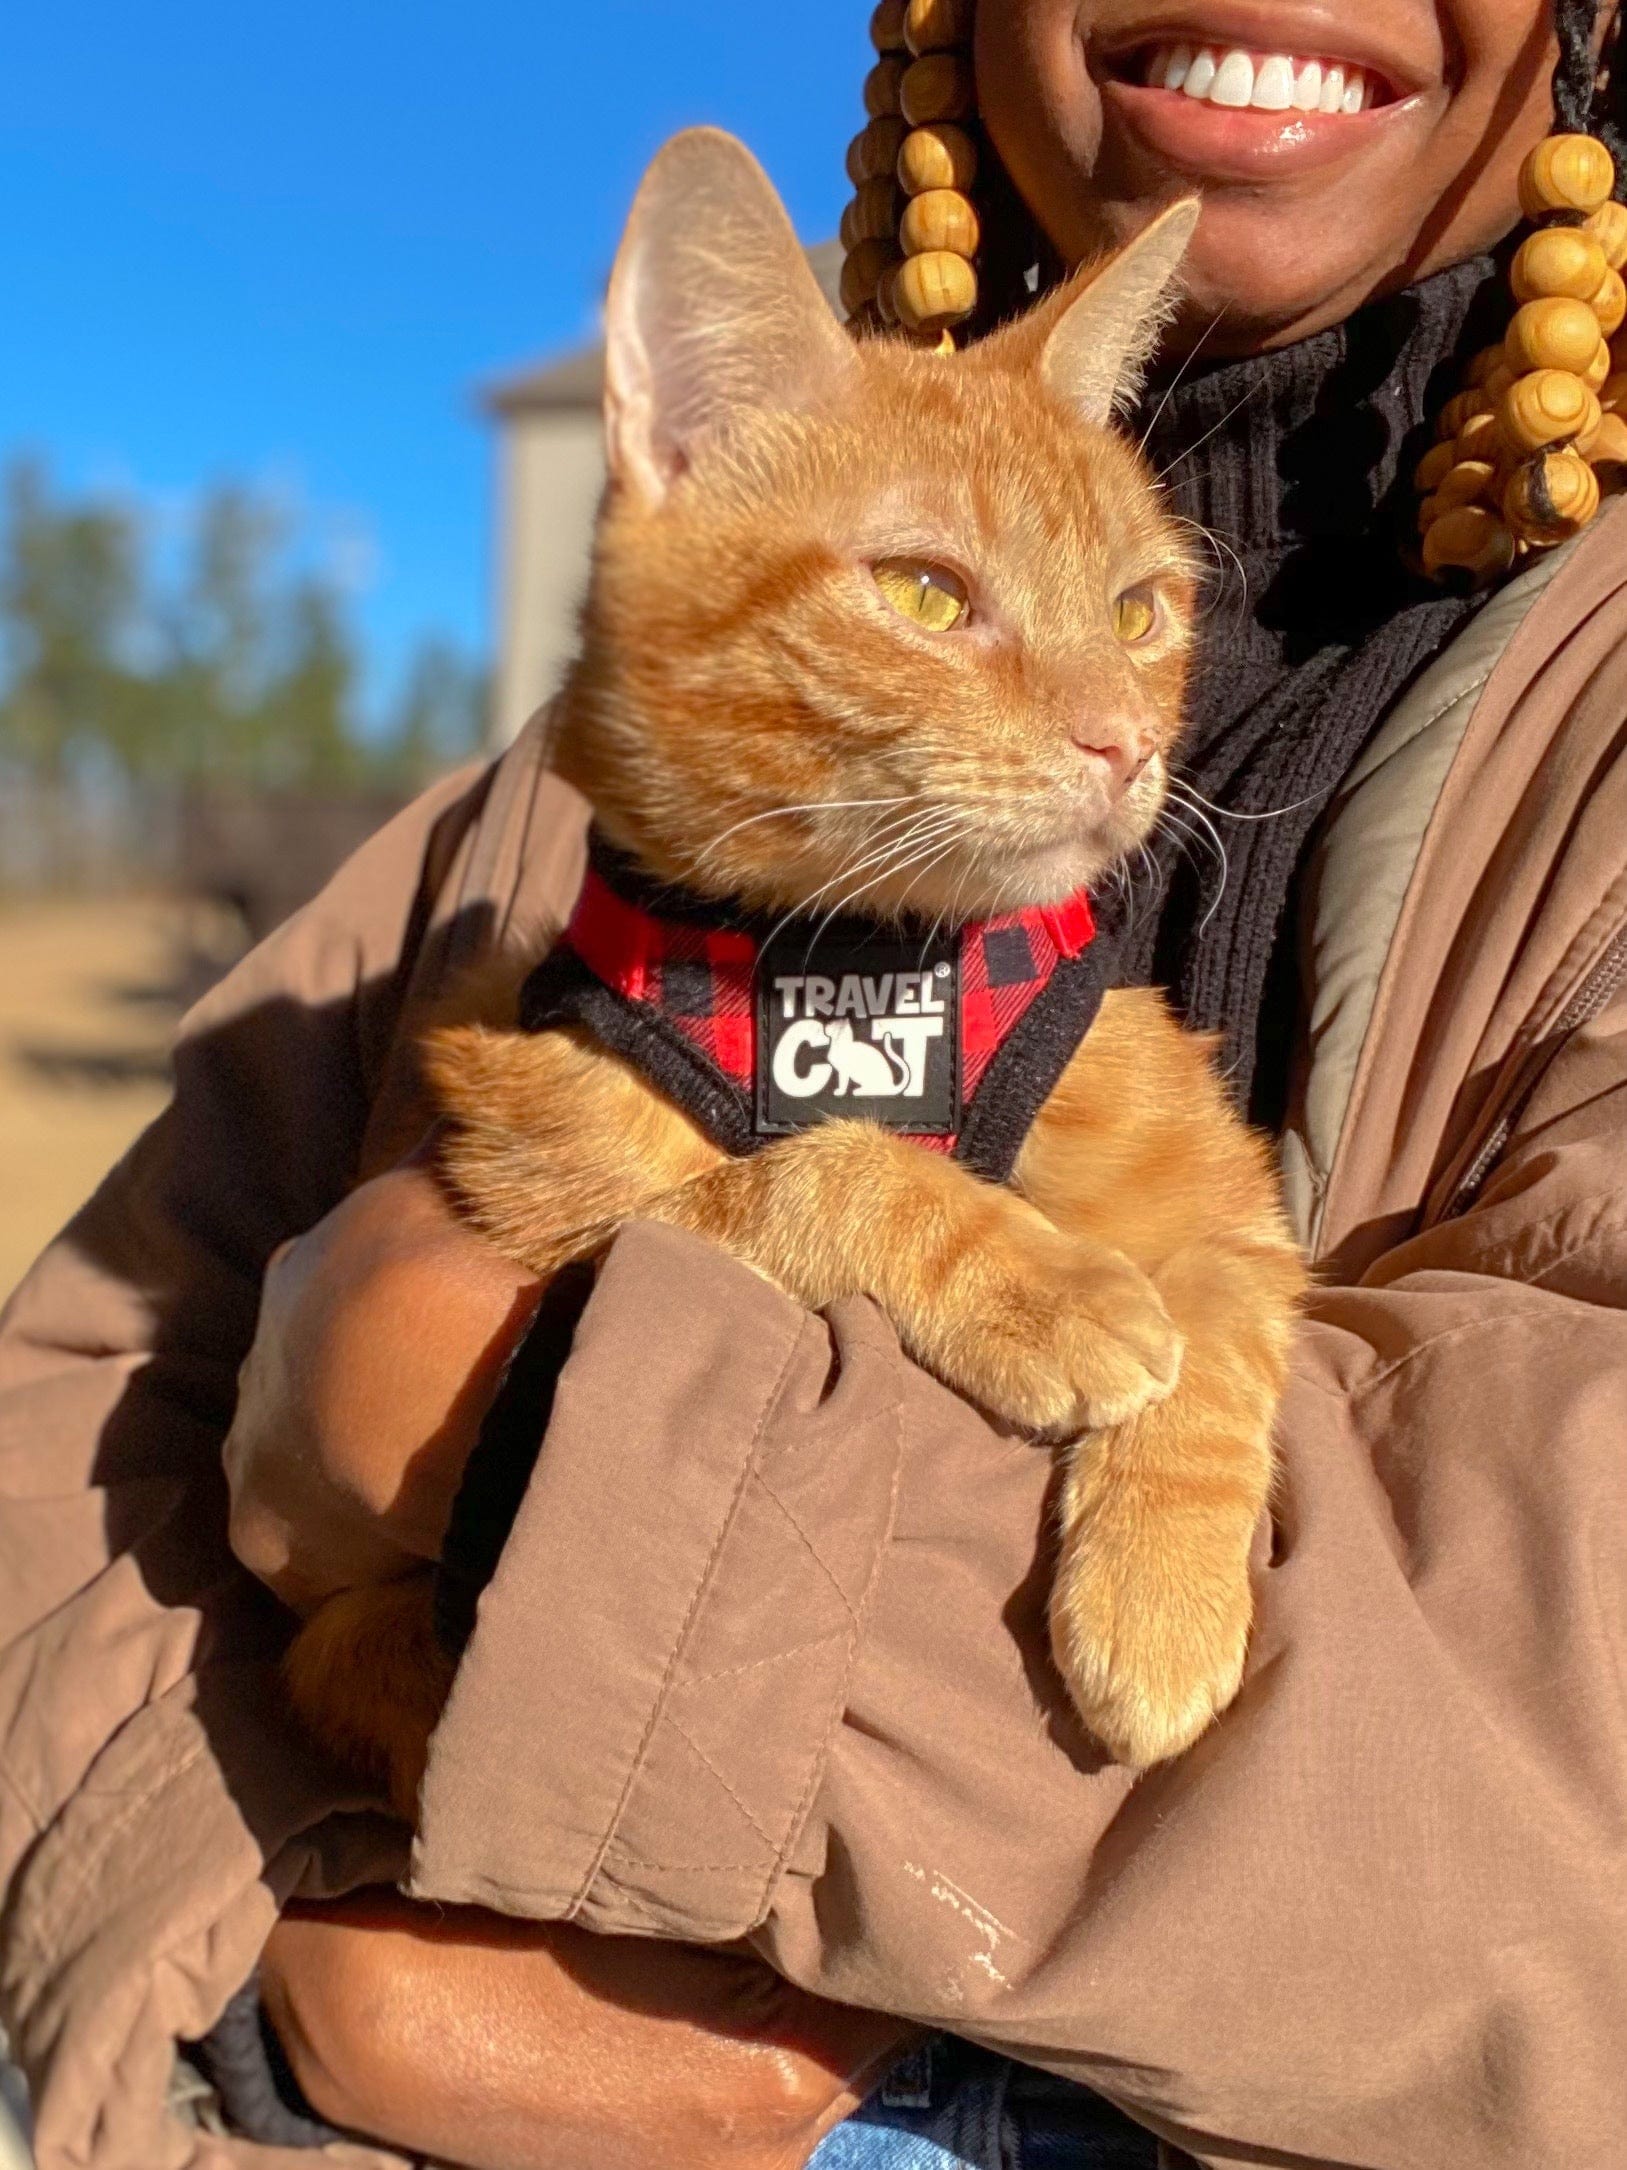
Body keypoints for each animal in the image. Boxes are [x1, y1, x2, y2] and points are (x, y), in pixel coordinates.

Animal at [286, 131, 1310, 1814]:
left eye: (1136, 609)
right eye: (924, 595)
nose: (1123, 742)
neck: (867, 972)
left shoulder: (1222, 1194)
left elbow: (1219, 1335)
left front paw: (1156, 1596)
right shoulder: (546, 1184)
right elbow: (816, 1174)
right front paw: (1041, 1283)